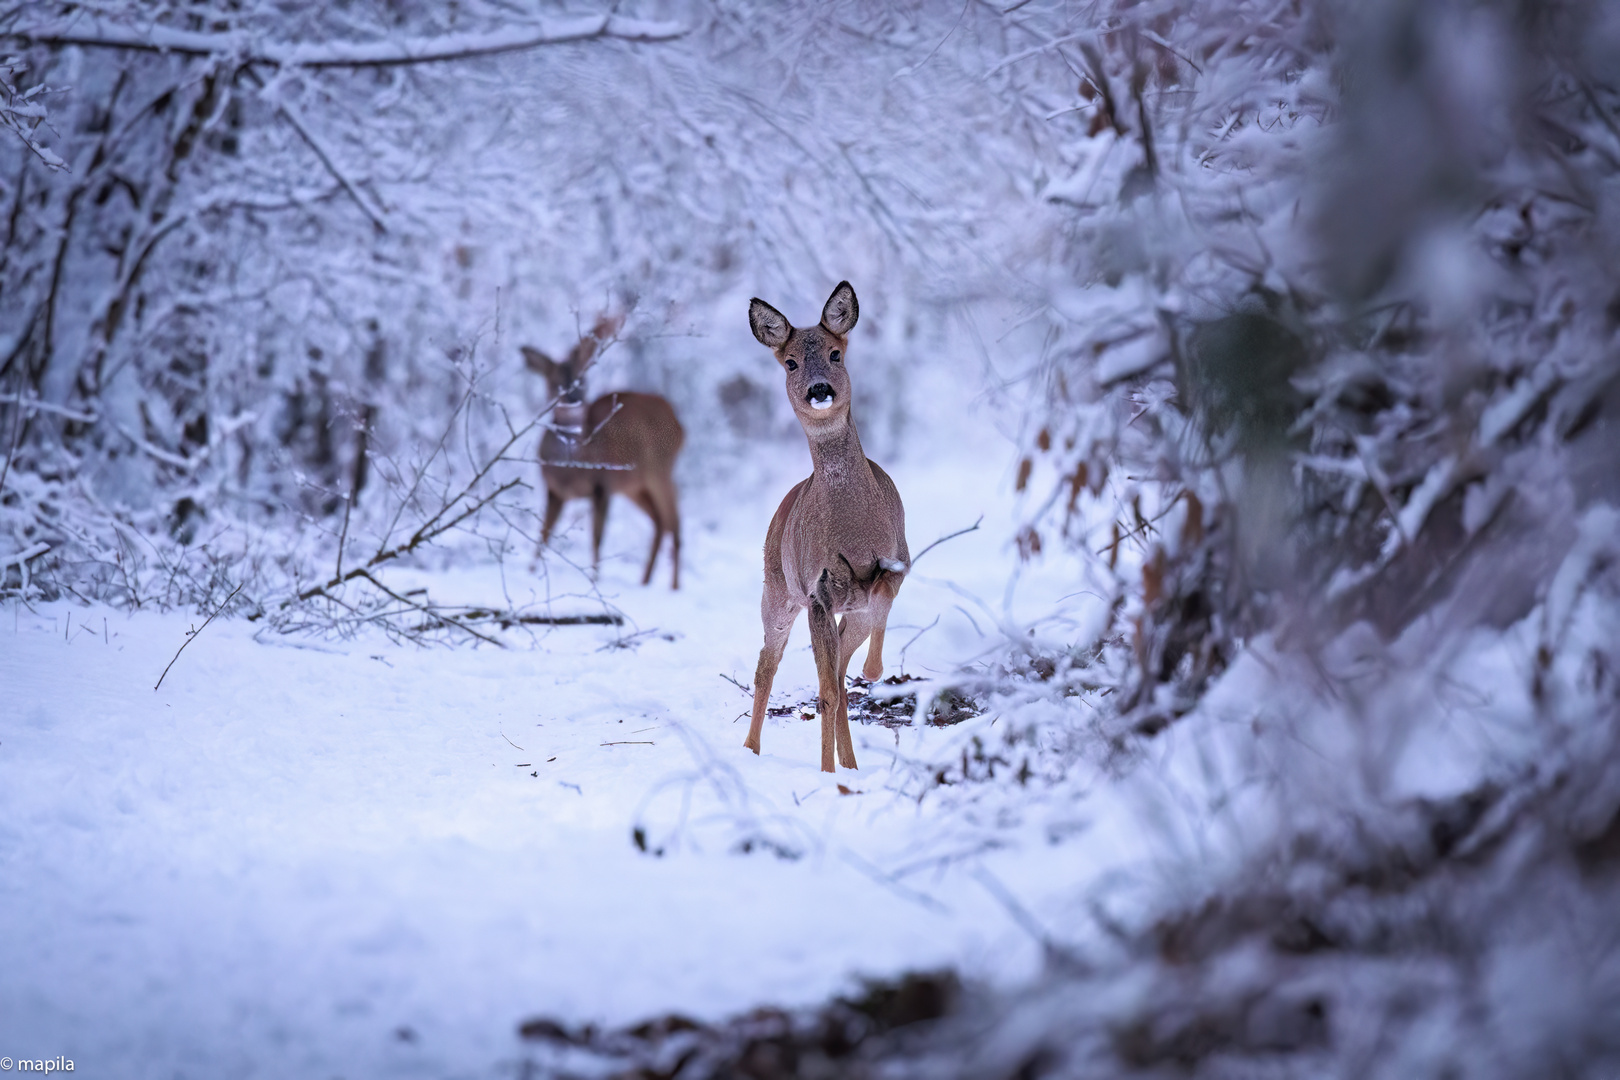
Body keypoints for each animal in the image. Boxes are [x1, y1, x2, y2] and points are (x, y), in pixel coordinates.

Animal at [524, 317, 683, 586]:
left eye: (583, 380)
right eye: (555, 383)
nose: (575, 400)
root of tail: (679, 422)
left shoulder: (603, 484)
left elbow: (596, 538)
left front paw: (594, 579)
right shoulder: (555, 490)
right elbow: (544, 533)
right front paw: (531, 571)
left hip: (659, 469)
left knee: (674, 520)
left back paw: (673, 587)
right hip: (635, 485)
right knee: (661, 521)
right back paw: (645, 581)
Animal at [745, 278, 913, 767]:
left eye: (837, 353)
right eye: (791, 361)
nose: (819, 388)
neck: (854, 528)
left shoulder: (900, 559)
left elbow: (879, 599)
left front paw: (874, 670)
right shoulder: (816, 590)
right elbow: (824, 693)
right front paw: (824, 772)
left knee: (836, 672)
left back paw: (851, 762)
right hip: (777, 590)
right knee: (769, 665)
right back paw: (751, 749)